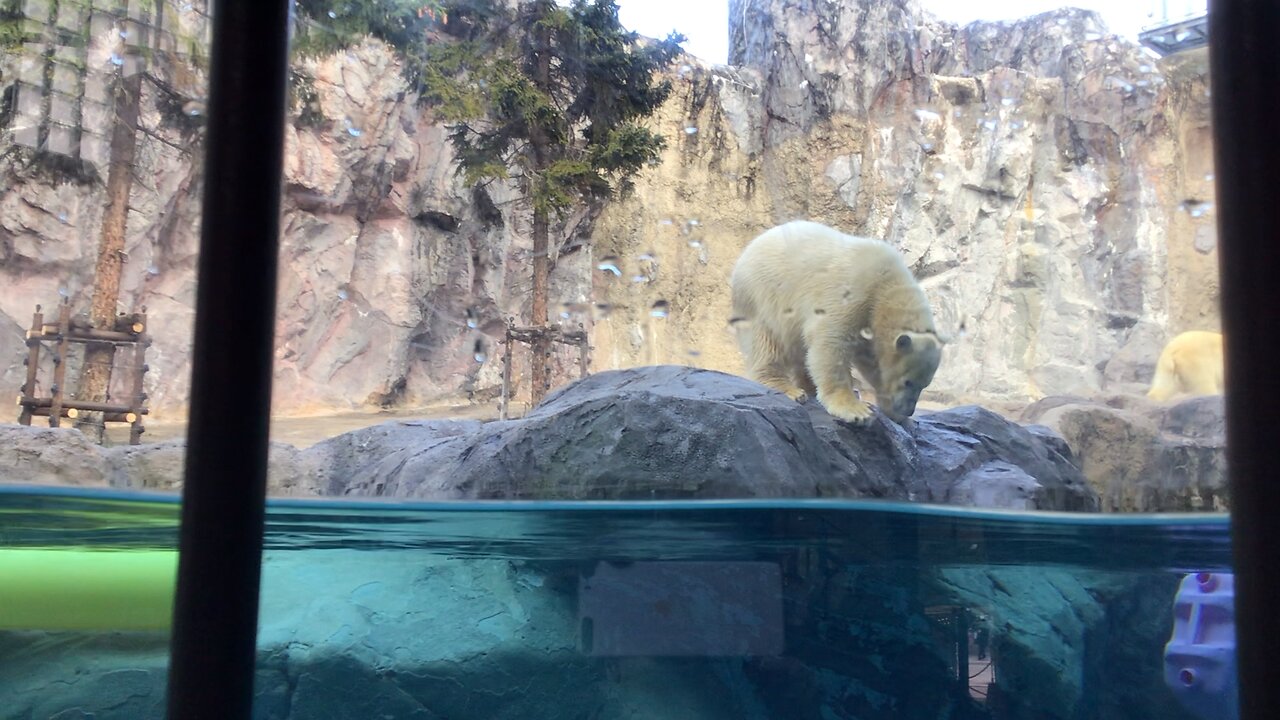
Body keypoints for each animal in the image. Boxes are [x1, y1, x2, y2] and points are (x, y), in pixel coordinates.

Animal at [732, 217, 952, 420]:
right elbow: (830, 342)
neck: (887, 285)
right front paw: (855, 410)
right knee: (767, 341)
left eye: (924, 384)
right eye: (907, 381)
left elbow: (871, 360)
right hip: (763, 294)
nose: (909, 411)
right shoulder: (851, 292)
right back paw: (788, 389)